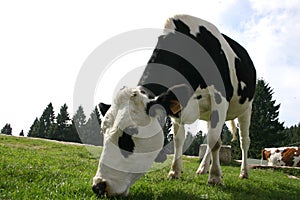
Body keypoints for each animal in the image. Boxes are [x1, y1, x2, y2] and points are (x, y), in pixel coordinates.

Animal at [92, 14, 255, 197]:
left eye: (129, 133)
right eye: (103, 131)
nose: (99, 186)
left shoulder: (219, 99)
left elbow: (214, 142)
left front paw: (215, 177)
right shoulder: (178, 110)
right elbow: (179, 141)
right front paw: (175, 171)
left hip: (246, 109)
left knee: (243, 141)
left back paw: (243, 172)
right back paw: (202, 169)